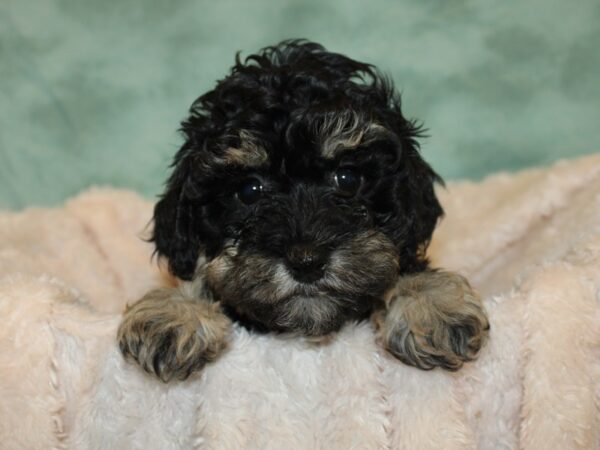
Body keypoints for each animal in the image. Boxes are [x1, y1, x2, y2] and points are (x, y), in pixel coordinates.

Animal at [116, 39, 488, 384]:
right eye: (249, 191)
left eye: (347, 179)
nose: (307, 262)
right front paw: (175, 312)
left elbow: (405, 265)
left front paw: (432, 305)